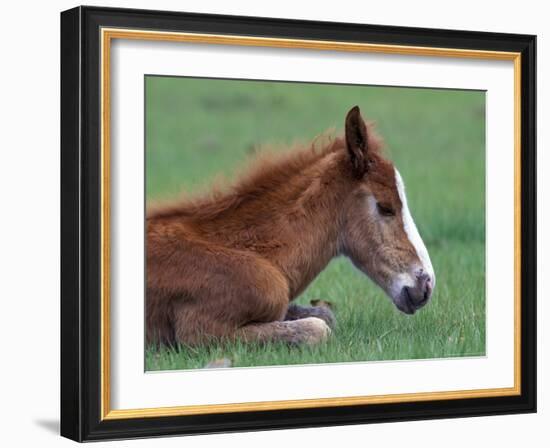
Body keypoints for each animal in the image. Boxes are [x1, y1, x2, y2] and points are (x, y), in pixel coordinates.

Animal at [146, 106, 436, 346]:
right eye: (386, 207)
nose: (426, 285)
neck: (251, 252)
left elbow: (324, 314)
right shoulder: (199, 331)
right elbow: (318, 328)